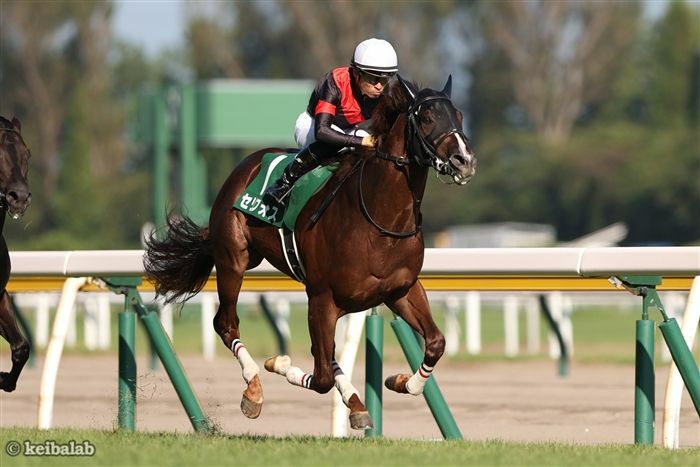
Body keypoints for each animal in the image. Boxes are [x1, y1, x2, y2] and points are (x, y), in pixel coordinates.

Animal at [146, 77, 478, 432]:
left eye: (459, 115)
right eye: (427, 118)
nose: (464, 160)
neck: (380, 219)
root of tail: (245, 166)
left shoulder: (400, 290)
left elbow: (435, 343)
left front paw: (402, 381)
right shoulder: (321, 296)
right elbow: (319, 378)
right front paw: (278, 363)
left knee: (324, 353)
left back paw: (355, 403)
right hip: (233, 260)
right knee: (226, 323)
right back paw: (254, 388)